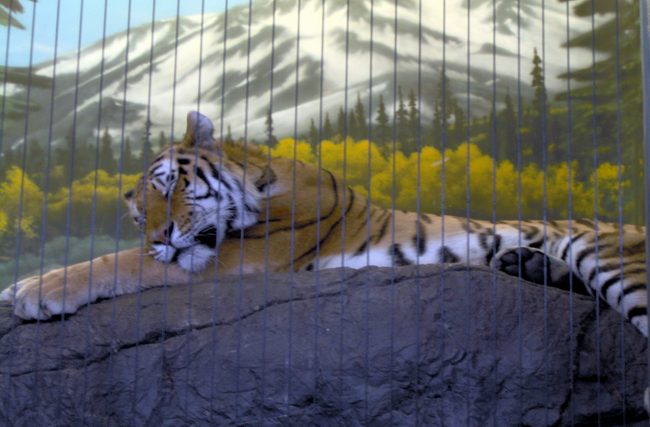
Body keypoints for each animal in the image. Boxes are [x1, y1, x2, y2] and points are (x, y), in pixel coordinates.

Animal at [0, 111, 647, 336]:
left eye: (172, 185)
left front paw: (32, 289)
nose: (161, 236)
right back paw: (523, 261)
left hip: (610, 254)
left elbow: (113, 263)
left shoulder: (240, 256)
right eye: (141, 214)